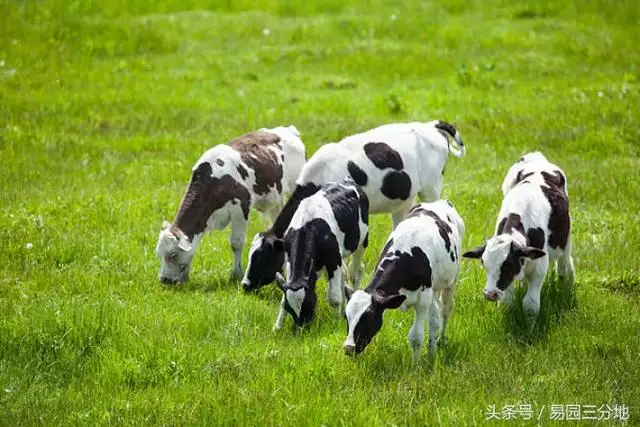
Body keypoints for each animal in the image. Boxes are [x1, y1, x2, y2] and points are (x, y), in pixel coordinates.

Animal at [154, 127, 304, 288]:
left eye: (173, 255)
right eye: (159, 253)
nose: (165, 279)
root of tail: (287, 129)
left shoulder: (241, 208)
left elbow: (236, 243)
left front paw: (236, 274)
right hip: (276, 201)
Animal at [272, 177, 370, 332]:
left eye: (310, 304)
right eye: (290, 308)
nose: (301, 330)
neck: (307, 226)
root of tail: (347, 180)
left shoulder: (333, 259)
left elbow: (334, 298)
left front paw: (336, 323)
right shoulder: (289, 261)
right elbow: (283, 297)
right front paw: (277, 327)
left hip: (362, 241)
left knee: (355, 272)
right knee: (344, 274)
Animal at [342, 200, 462, 362]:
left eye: (368, 317)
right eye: (346, 316)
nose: (349, 347)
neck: (407, 253)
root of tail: (439, 202)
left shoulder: (423, 300)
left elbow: (416, 337)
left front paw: (415, 365)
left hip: (450, 282)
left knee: (445, 311)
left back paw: (441, 341)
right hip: (434, 290)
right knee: (435, 318)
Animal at [460, 152, 576, 322]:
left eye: (507, 265)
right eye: (484, 264)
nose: (490, 294)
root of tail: (536, 158)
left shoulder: (539, 268)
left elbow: (531, 304)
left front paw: (530, 326)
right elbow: (507, 301)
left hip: (565, 239)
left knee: (565, 263)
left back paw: (566, 283)